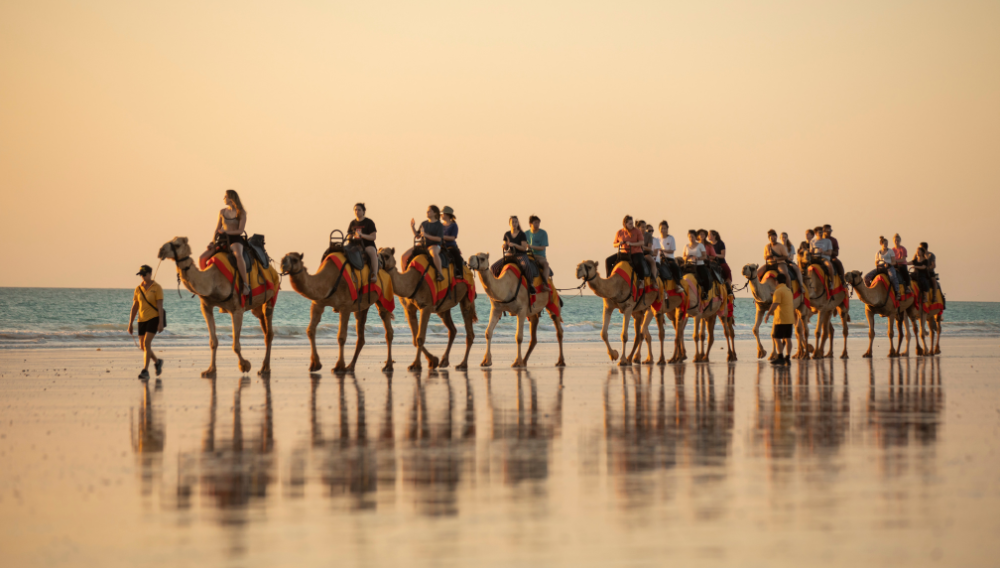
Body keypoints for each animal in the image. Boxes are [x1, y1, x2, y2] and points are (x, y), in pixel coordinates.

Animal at [158, 236, 280, 378]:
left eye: (177, 245)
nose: (161, 251)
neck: (213, 280)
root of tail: (273, 270)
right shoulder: (206, 306)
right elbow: (213, 341)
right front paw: (210, 370)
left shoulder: (237, 309)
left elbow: (235, 345)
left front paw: (245, 365)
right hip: (257, 307)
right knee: (265, 329)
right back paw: (265, 367)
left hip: (271, 297)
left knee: (269, 332)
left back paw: (265, 369)